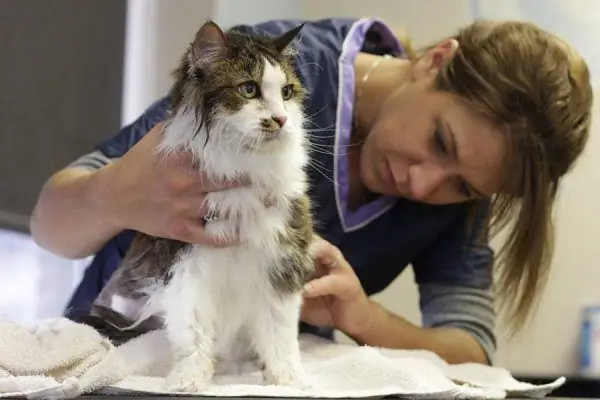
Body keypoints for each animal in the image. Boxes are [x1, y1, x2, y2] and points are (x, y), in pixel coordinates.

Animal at [79, 19, 316, 390]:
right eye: (249, 89)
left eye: (287, 93)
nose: (281, 120)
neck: (242, 167)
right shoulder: (184, 267)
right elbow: (193, 335)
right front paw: (188, 381)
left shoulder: (282, 261)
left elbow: (280, 336)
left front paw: (289, 380)